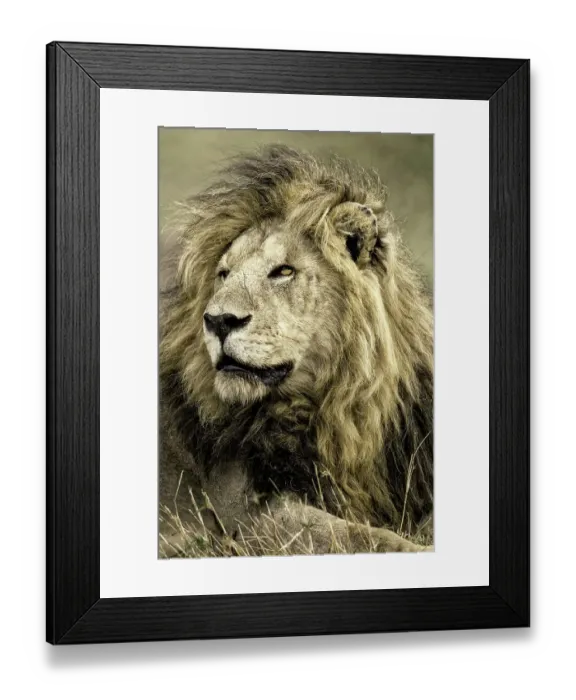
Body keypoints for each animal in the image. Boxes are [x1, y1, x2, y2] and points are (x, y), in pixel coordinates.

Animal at [159, 145, 433, 556]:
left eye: (284, 271)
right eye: (223, 274)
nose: (218, 320)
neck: (339, 410)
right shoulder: (243, 515)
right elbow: (358, 535)